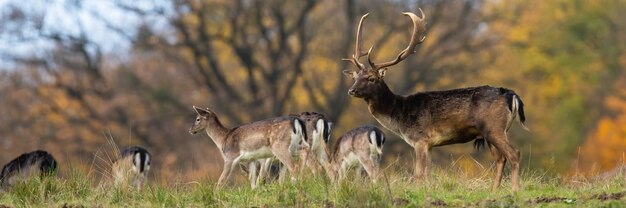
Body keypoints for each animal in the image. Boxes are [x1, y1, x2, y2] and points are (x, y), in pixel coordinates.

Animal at [342, 8, 528, 191]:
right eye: (355, 77)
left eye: (371, 78)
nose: (351, 90)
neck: (400, 115)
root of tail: (511, 95)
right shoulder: (430, 145)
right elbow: (428, 175)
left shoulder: (420, 139)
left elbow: (418, 174)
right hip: (491, 132)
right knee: (500, 158)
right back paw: (494, 191)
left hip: (493, 127)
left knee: (514, 153)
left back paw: (515, 190)